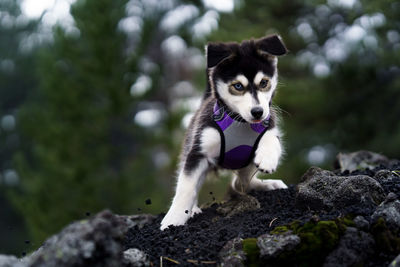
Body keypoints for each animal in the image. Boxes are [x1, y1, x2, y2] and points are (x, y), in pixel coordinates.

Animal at [161, 35, 290, 230]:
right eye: (238, 86)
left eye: (264, 83)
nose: (258, 112)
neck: (239, 121)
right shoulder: (198, 152)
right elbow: (186, 187)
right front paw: (174, 218)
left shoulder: (270, 125)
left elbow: (271, 137)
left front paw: (267, 157)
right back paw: (194, 209)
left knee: (240, 183)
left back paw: (267, 184)